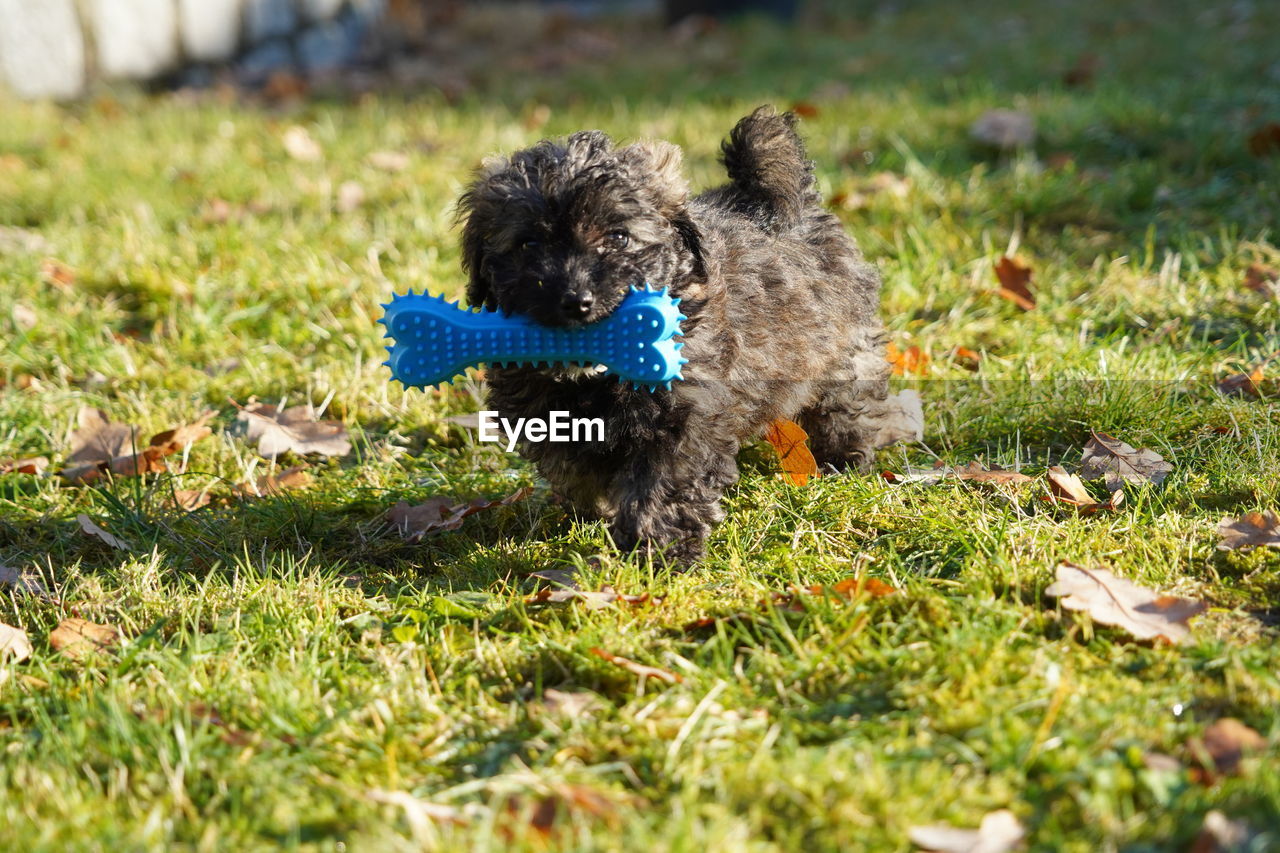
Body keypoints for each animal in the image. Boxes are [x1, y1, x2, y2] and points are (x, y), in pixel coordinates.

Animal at [463, 106, 901, 563]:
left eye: (619, 237)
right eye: (528, 244)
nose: (577, 300)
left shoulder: (684, 416)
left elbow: (661, 485)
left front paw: (658, 551)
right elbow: (579, 467)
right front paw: (595, 516)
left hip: (841, 348)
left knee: (846, 402)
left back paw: (844, 458)